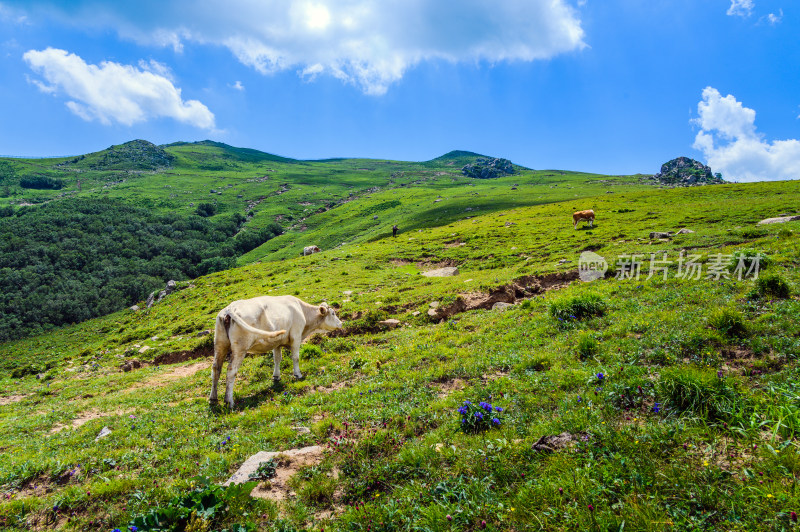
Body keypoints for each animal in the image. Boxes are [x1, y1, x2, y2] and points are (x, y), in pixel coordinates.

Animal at [208, 296, 342, 408]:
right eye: (333, 313)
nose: (341, 323)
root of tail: (230, 308)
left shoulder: (277, 342)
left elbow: (277, 359)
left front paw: (276, 376)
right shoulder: (296, 336)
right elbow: (295, 357)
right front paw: (298, 374)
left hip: (220, 344)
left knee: (216, 369)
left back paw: (213, 399)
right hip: (240, 348)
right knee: (231, 371)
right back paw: (229, 401)